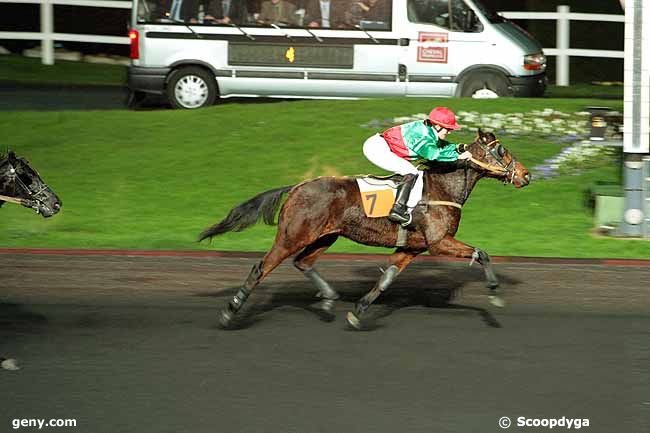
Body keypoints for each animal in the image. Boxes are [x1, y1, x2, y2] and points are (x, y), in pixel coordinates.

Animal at [200, 130, 528, 330]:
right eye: (501, 150)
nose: (526, 175)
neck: (442, 187)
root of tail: (296, 187)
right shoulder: (439, 241)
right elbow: (482, 253)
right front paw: (495, 294)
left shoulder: (412, 247)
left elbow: (386, 280)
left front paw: (358, 312)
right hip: (292, 235)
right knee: (261, 267)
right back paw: (230, 311)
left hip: (326, 235)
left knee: (303, 262)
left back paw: (329, 297)